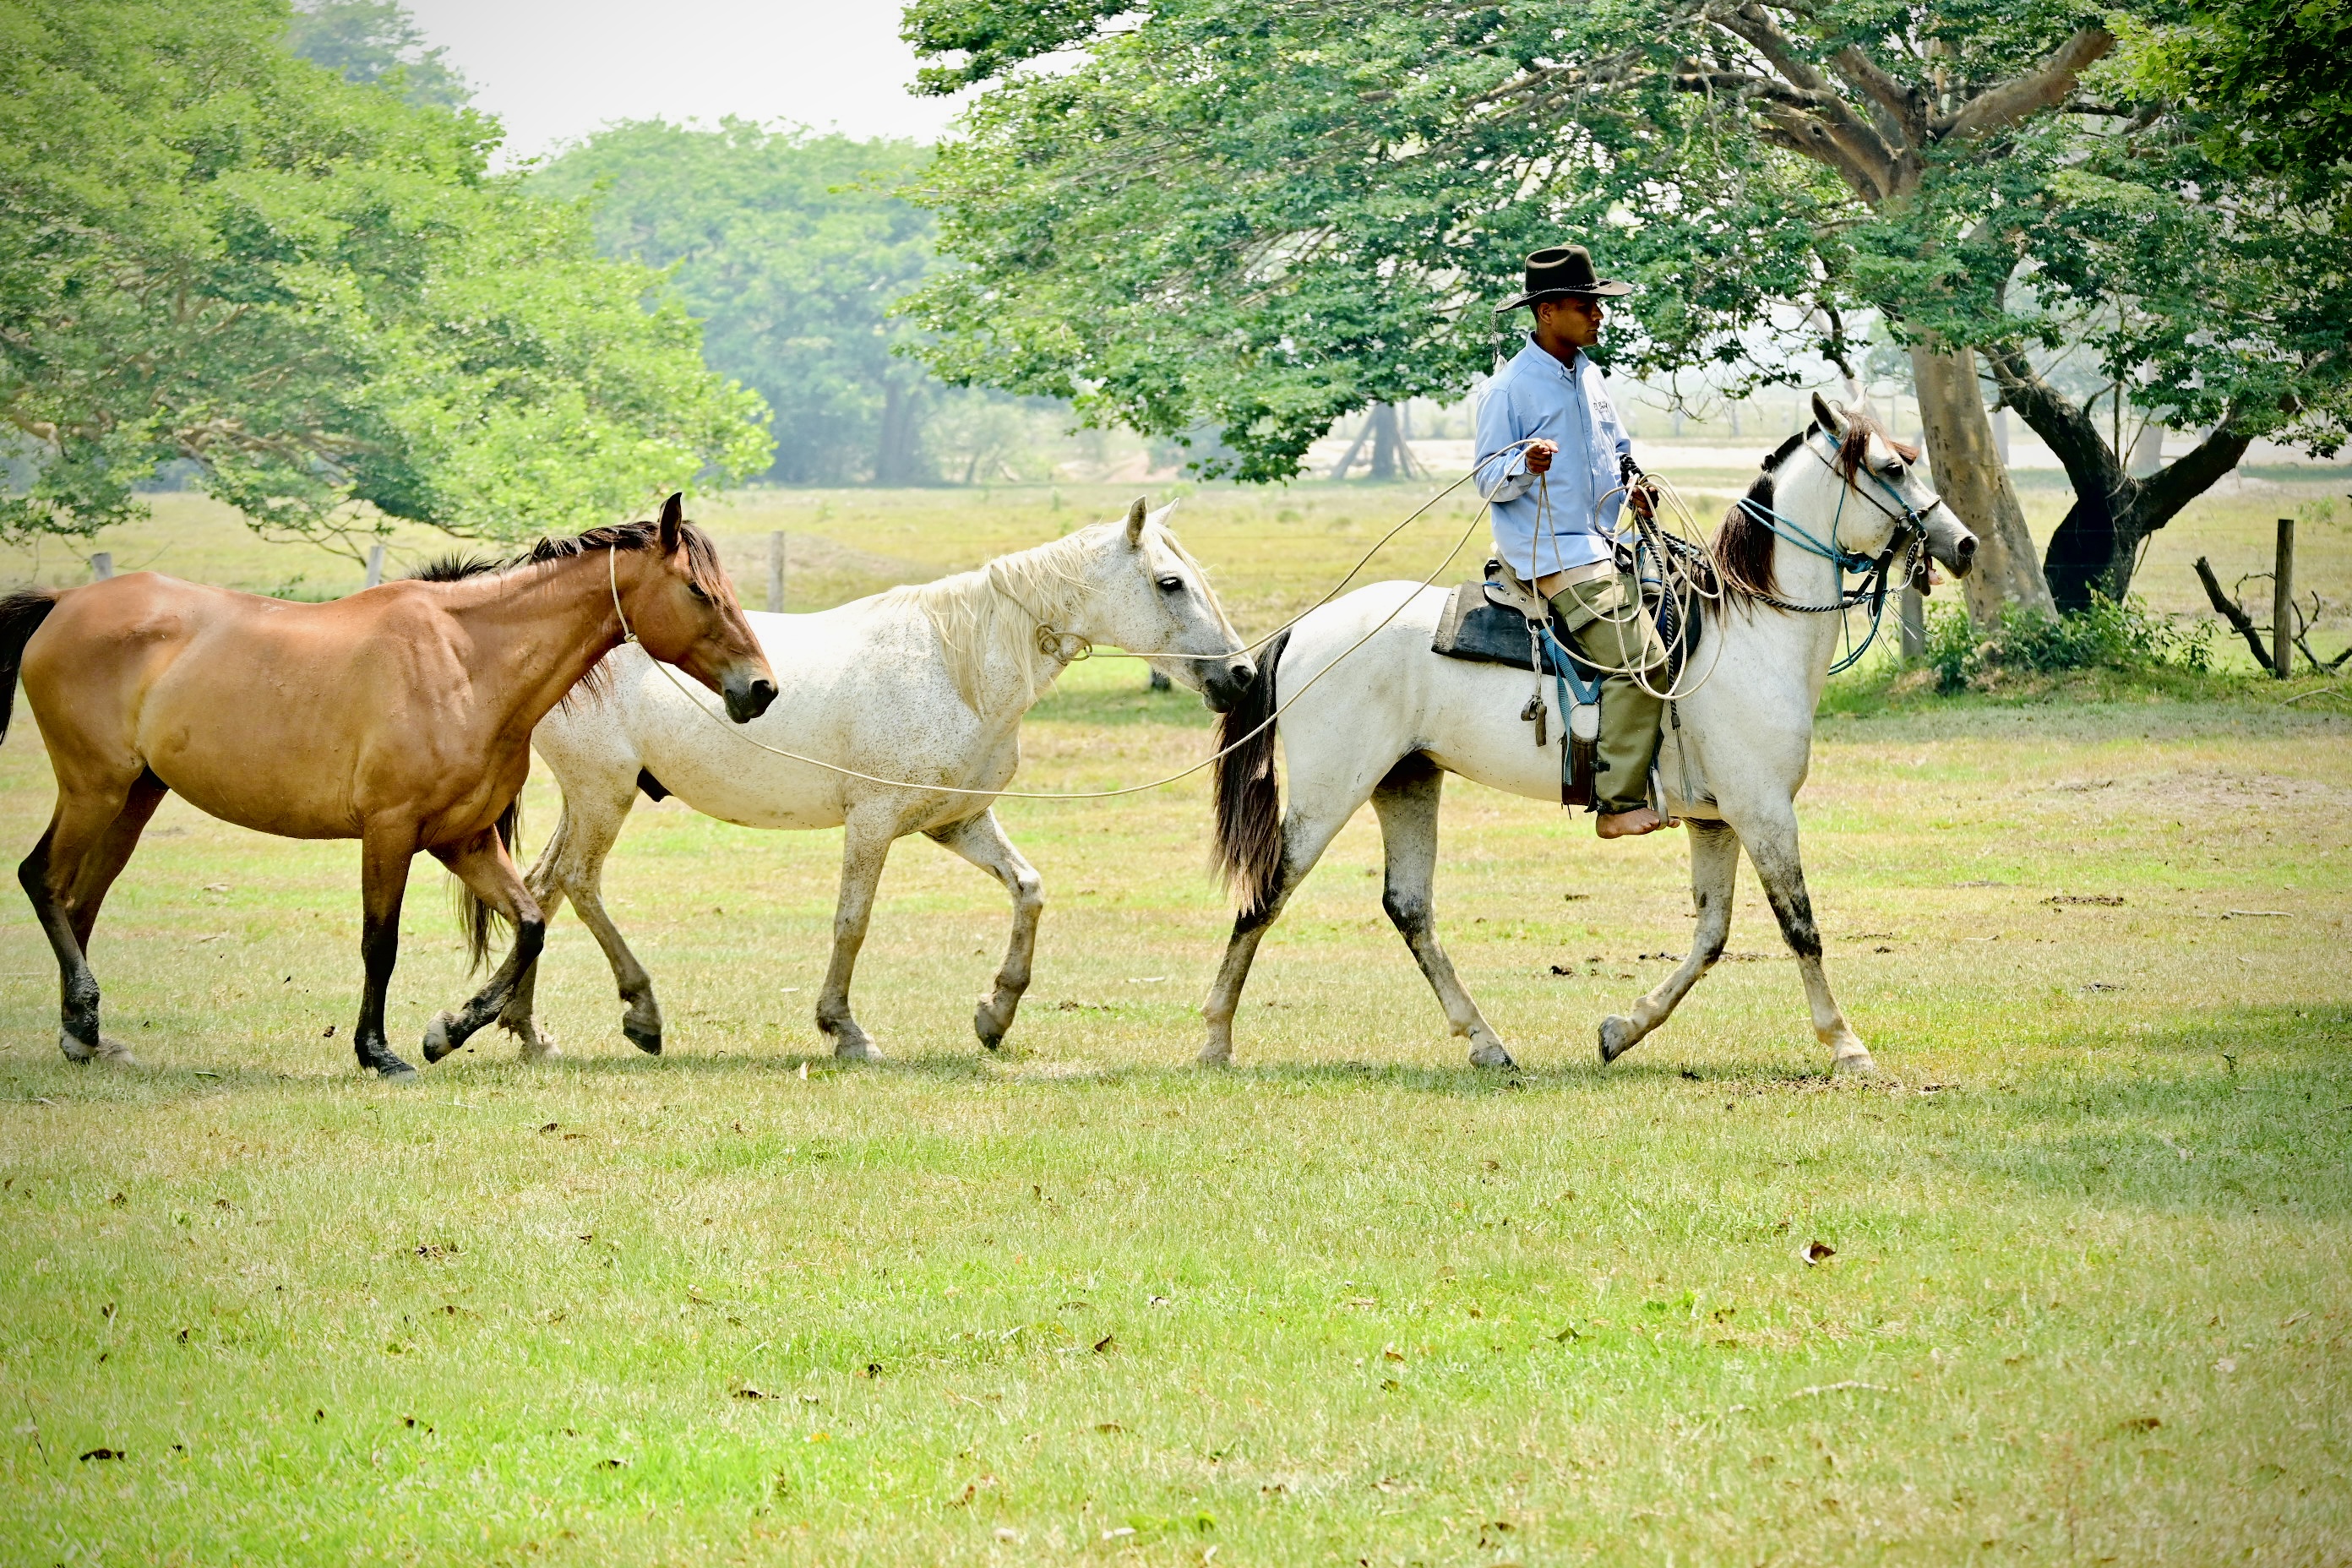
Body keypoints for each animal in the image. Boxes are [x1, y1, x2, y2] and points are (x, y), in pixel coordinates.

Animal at [0, 500, 776, 1081]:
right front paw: (379, 1053)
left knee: (80, 900)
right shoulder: (391, 832)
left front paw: (449, 1030)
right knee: (42, 879)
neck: (467, 661)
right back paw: (85, 1018)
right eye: (701, 592)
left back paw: (86, 1037)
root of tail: (65, 603)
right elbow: (383, 943)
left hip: (135, 797)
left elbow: (529, 926)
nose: (761, 689)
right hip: (94, 790)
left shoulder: (464, 840)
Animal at [433, 503, 1260, 1067]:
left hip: (594, 798)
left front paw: (995, 1014)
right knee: (576, 882)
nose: (1242, 675)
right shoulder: (874, 822)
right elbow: (851, 924)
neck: (956, 667)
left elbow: (1028, 890)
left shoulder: (957, 822)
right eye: (1170, 583)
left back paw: (527, 1031)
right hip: (603, 794)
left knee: (543, 888)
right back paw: (638, 1014)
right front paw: (845, 1030)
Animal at [1204, 392, 1975, 1081]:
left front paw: (1622, 1030)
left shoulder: (1719, 821)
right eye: (1891, 467)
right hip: (1329, 793)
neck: (1751, 631)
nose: (1963, 544)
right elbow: (1800, 926)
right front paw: (1847, 1046)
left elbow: (1711, 937)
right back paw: (1215, 1037)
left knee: (1409, 907)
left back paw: (1486, 1043)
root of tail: (1306, 629)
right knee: (1266, 894)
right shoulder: (1763, 812)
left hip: (1407, 779)